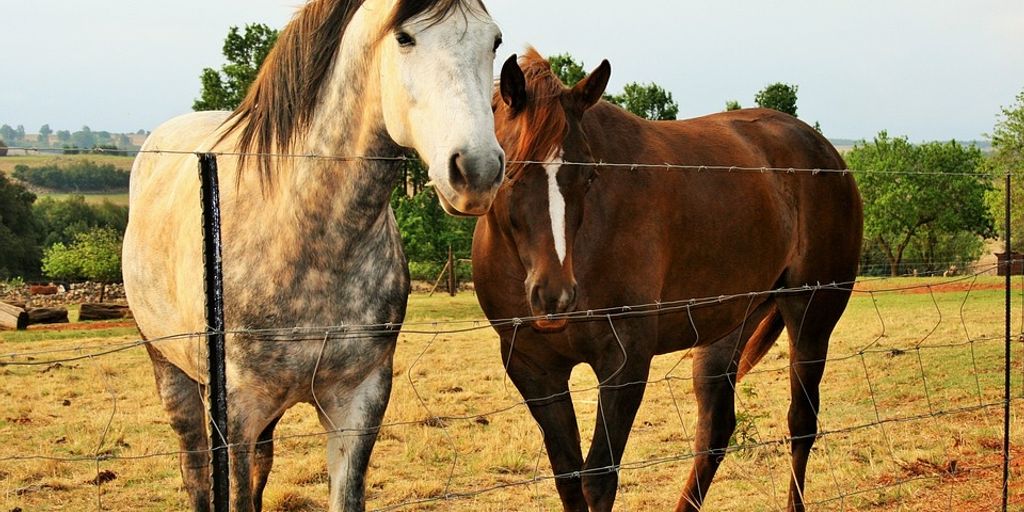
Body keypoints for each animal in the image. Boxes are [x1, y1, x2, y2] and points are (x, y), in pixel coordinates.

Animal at [471, 49, 864, 509]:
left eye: (589, 175)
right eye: (510, 171)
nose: (555, 295)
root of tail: (828, 154)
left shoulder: (625, 362)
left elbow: (598, 477)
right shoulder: (534, 369)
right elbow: (568, 478)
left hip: (810, 317)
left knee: (801, 422)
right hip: (726, 329)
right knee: (714, 433)